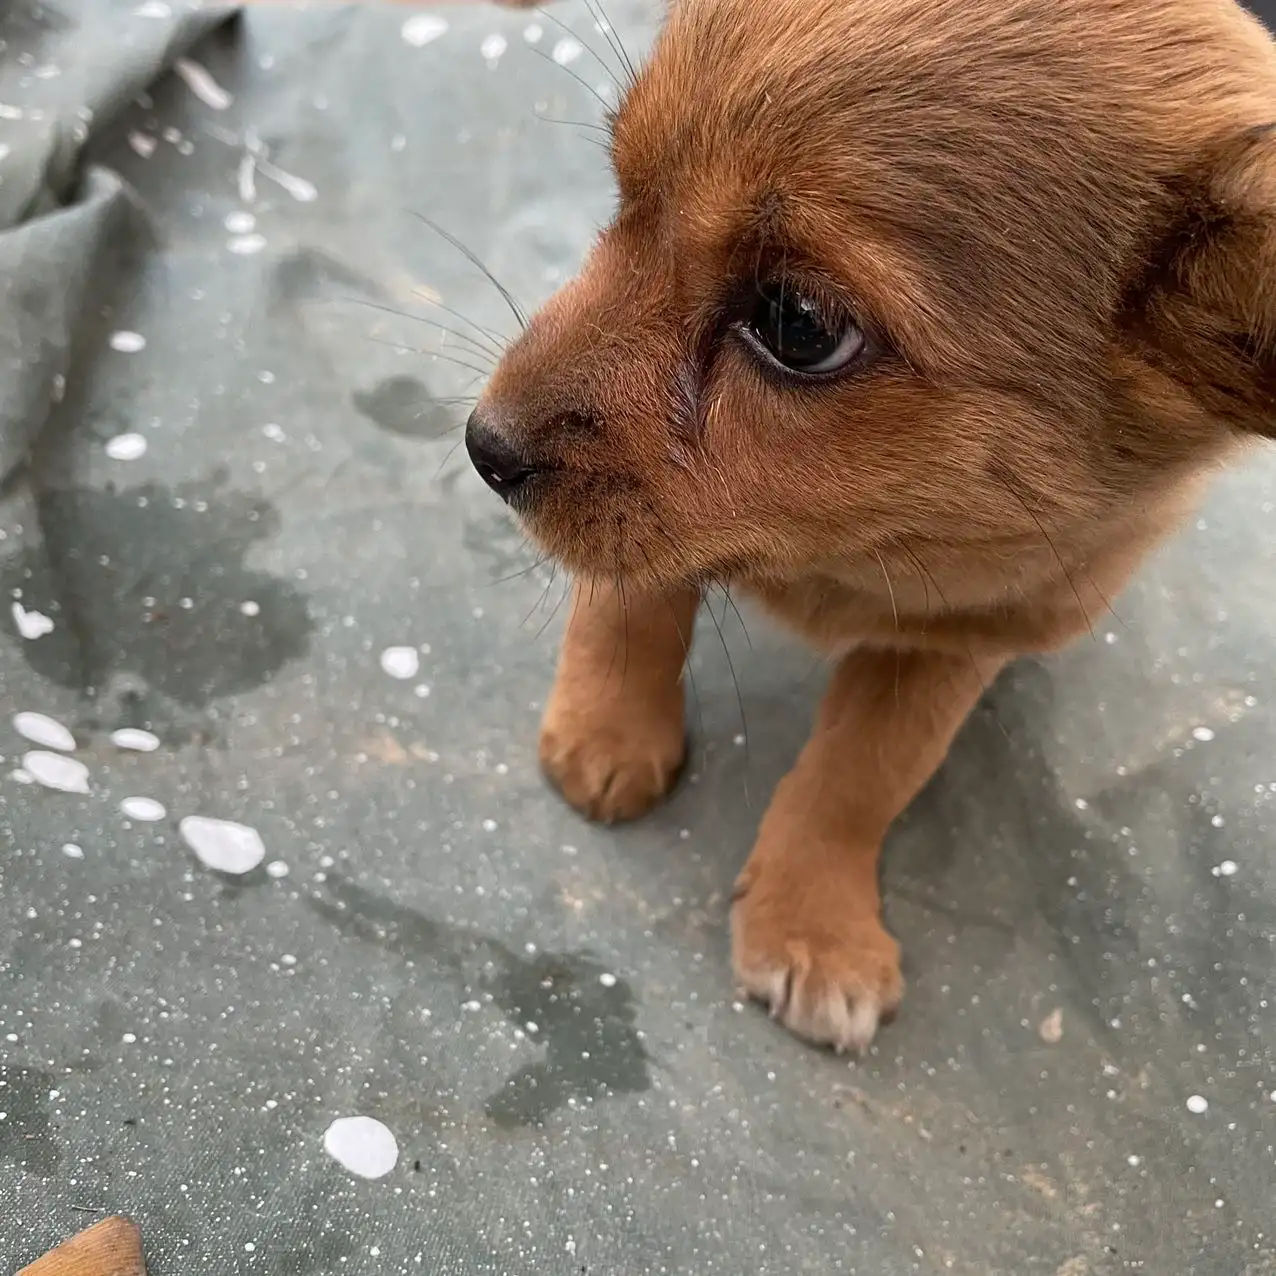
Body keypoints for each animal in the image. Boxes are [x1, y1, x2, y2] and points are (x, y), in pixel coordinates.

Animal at [464, 0, 1276, 1051]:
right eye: (622, 192)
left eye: (798, 323)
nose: (482, 446)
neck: (850, 553)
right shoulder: (657, 525)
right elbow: (634, 597)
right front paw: (606, 729)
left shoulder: (959, 641)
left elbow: (861, 774)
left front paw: (812, 923)